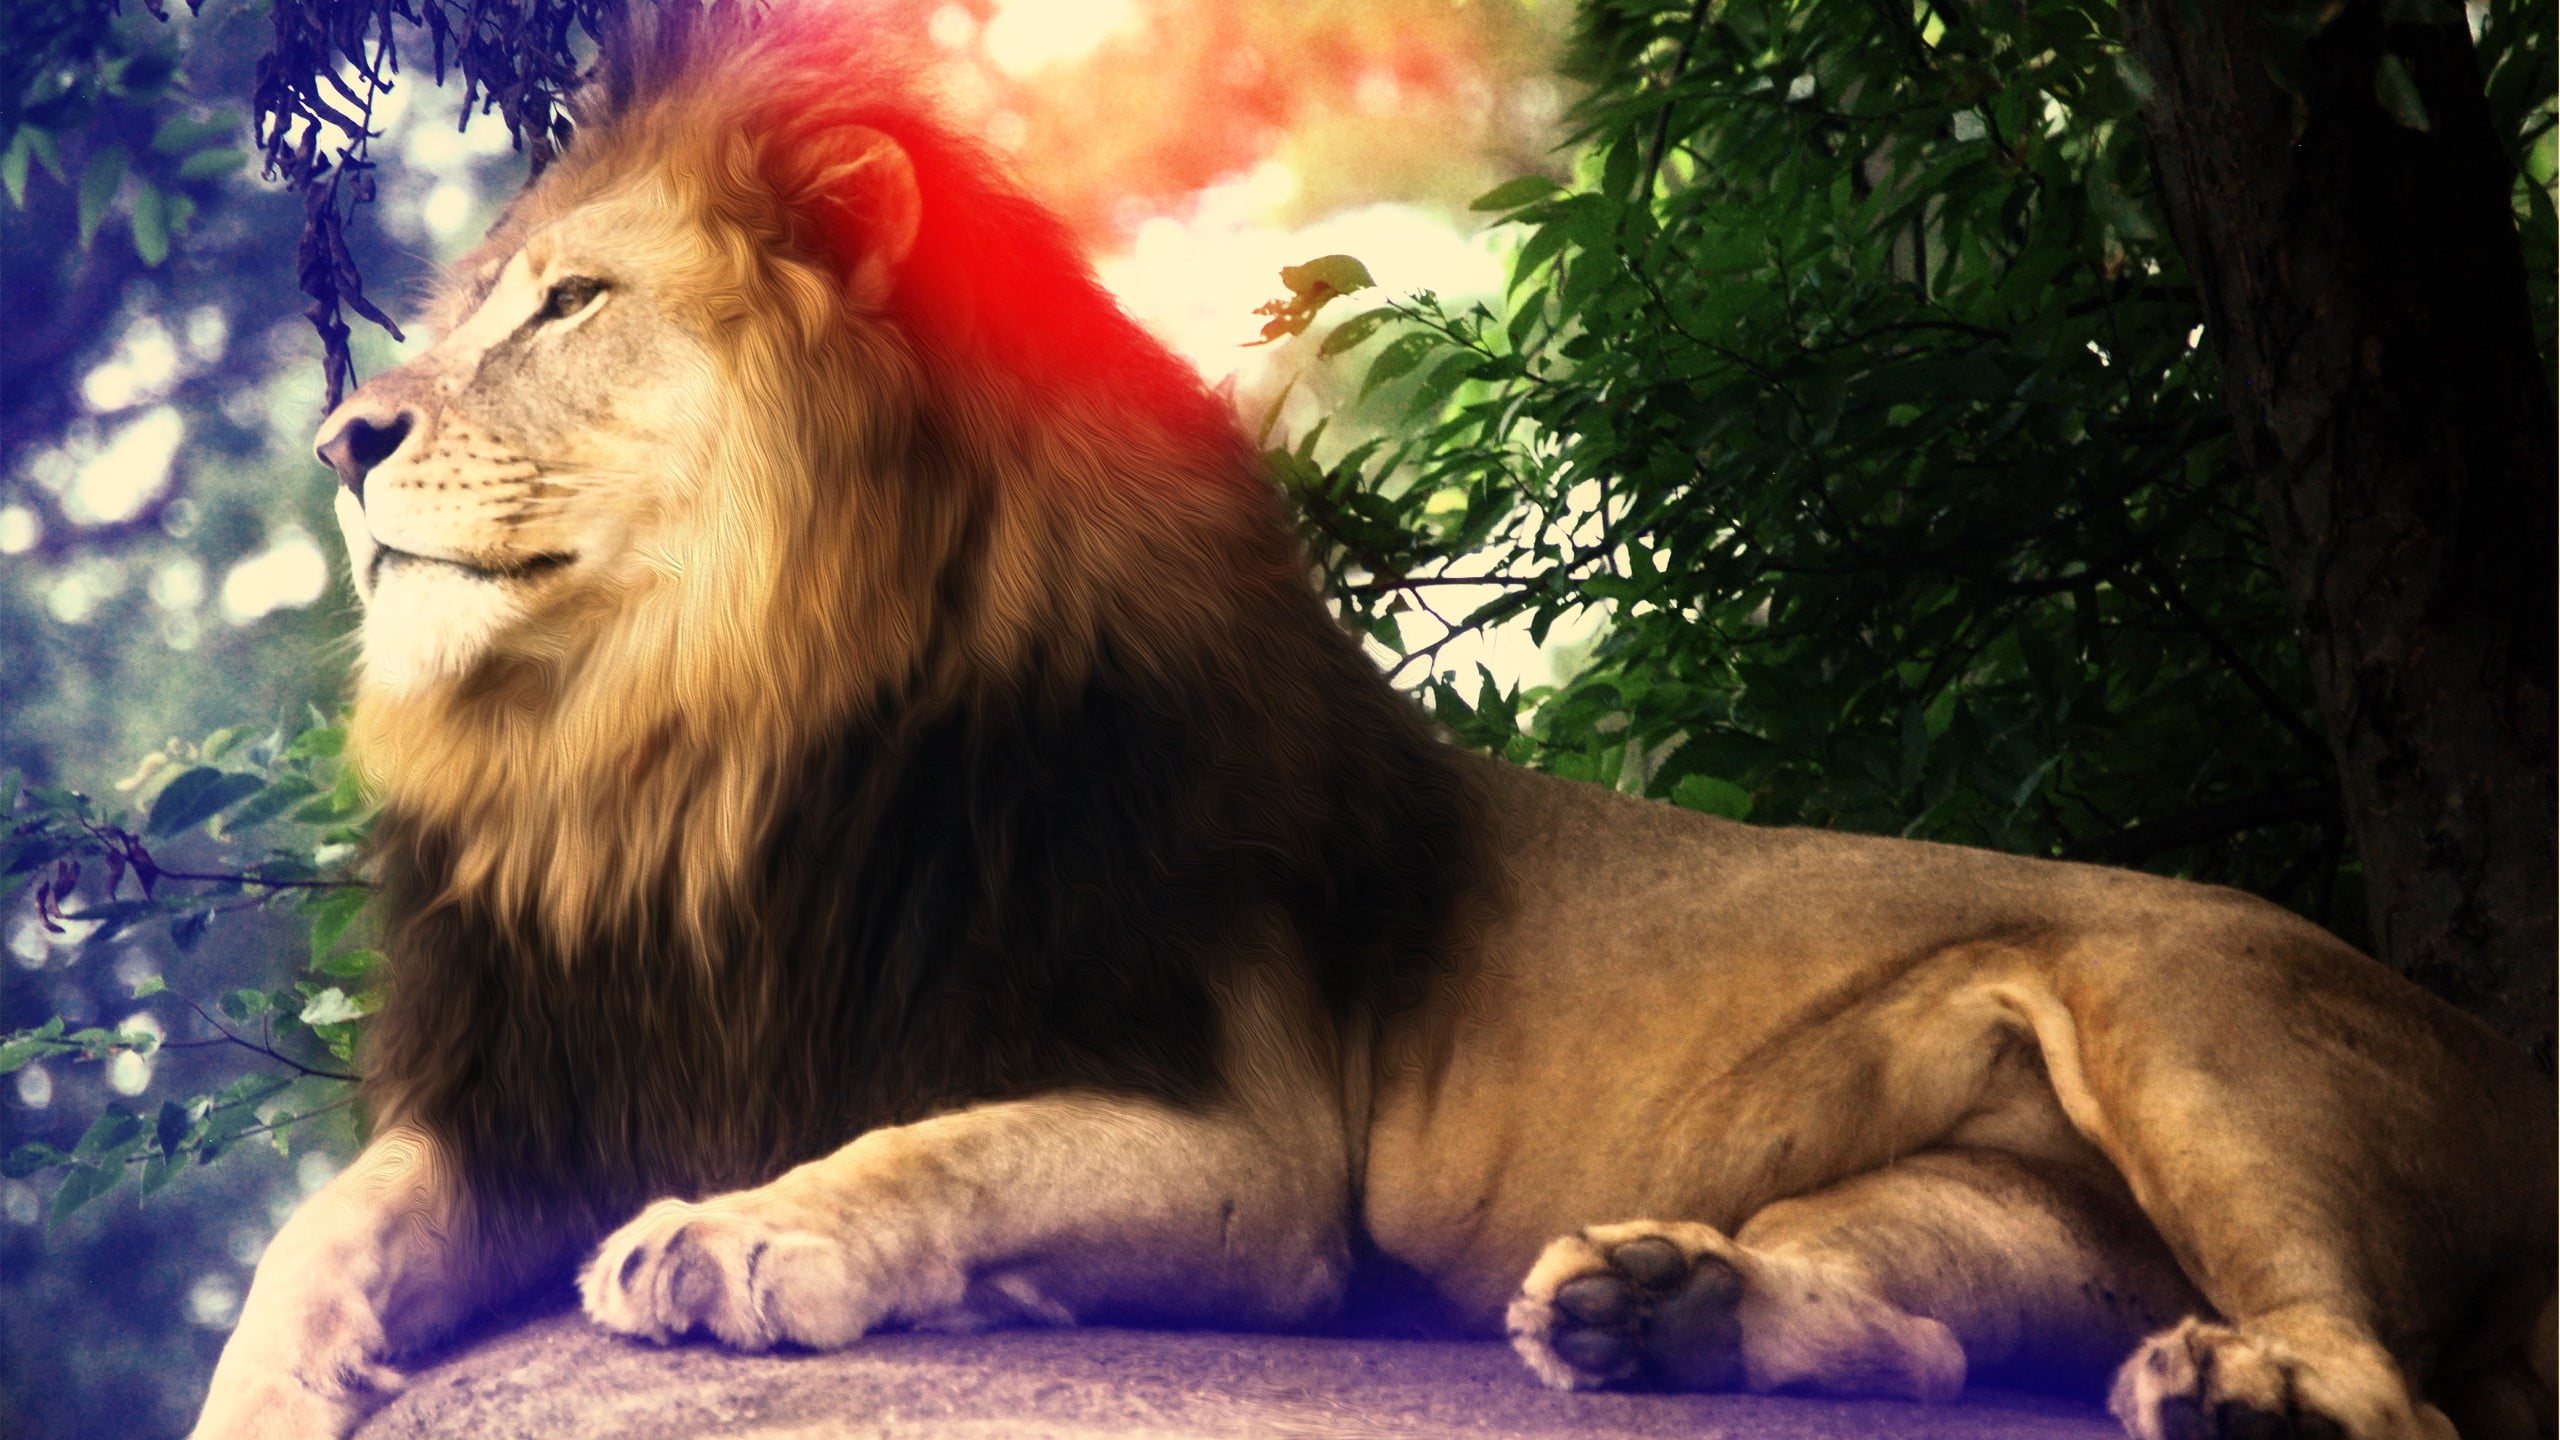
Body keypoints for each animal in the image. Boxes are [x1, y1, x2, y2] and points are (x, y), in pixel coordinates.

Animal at [191, 11, 2553, 1440]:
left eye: (571, 301)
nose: (343, 433)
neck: (691, 754)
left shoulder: (1254, 1156)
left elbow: (940, 1143)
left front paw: (742, 1233)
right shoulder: (561, 1079)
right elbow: (315, 1246)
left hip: (2189, 1036)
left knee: (2392, 1386)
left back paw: (2242, 1386)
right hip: (1988, 1201)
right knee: (1901, 1328)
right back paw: (1656, 1312)